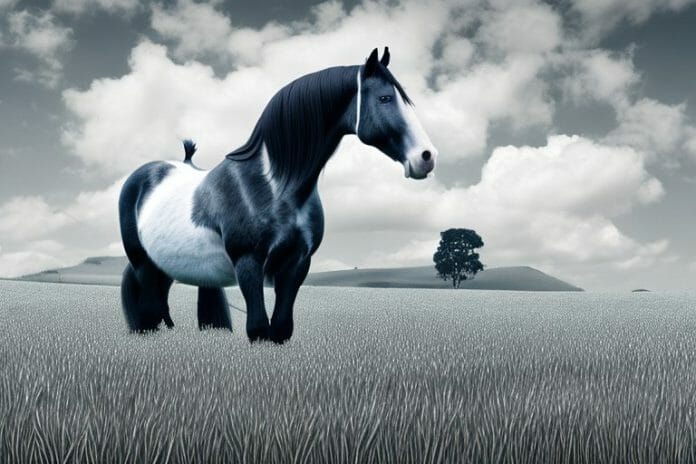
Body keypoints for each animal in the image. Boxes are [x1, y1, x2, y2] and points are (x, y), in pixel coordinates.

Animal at [118, 47, 438, 343]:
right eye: (384, 98)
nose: (427, 157)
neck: (273, 187)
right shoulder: (248, 262)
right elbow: (259, 329)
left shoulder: (297, 261)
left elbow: (281, 328)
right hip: (144, 262)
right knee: (151, 301)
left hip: (164, 264)